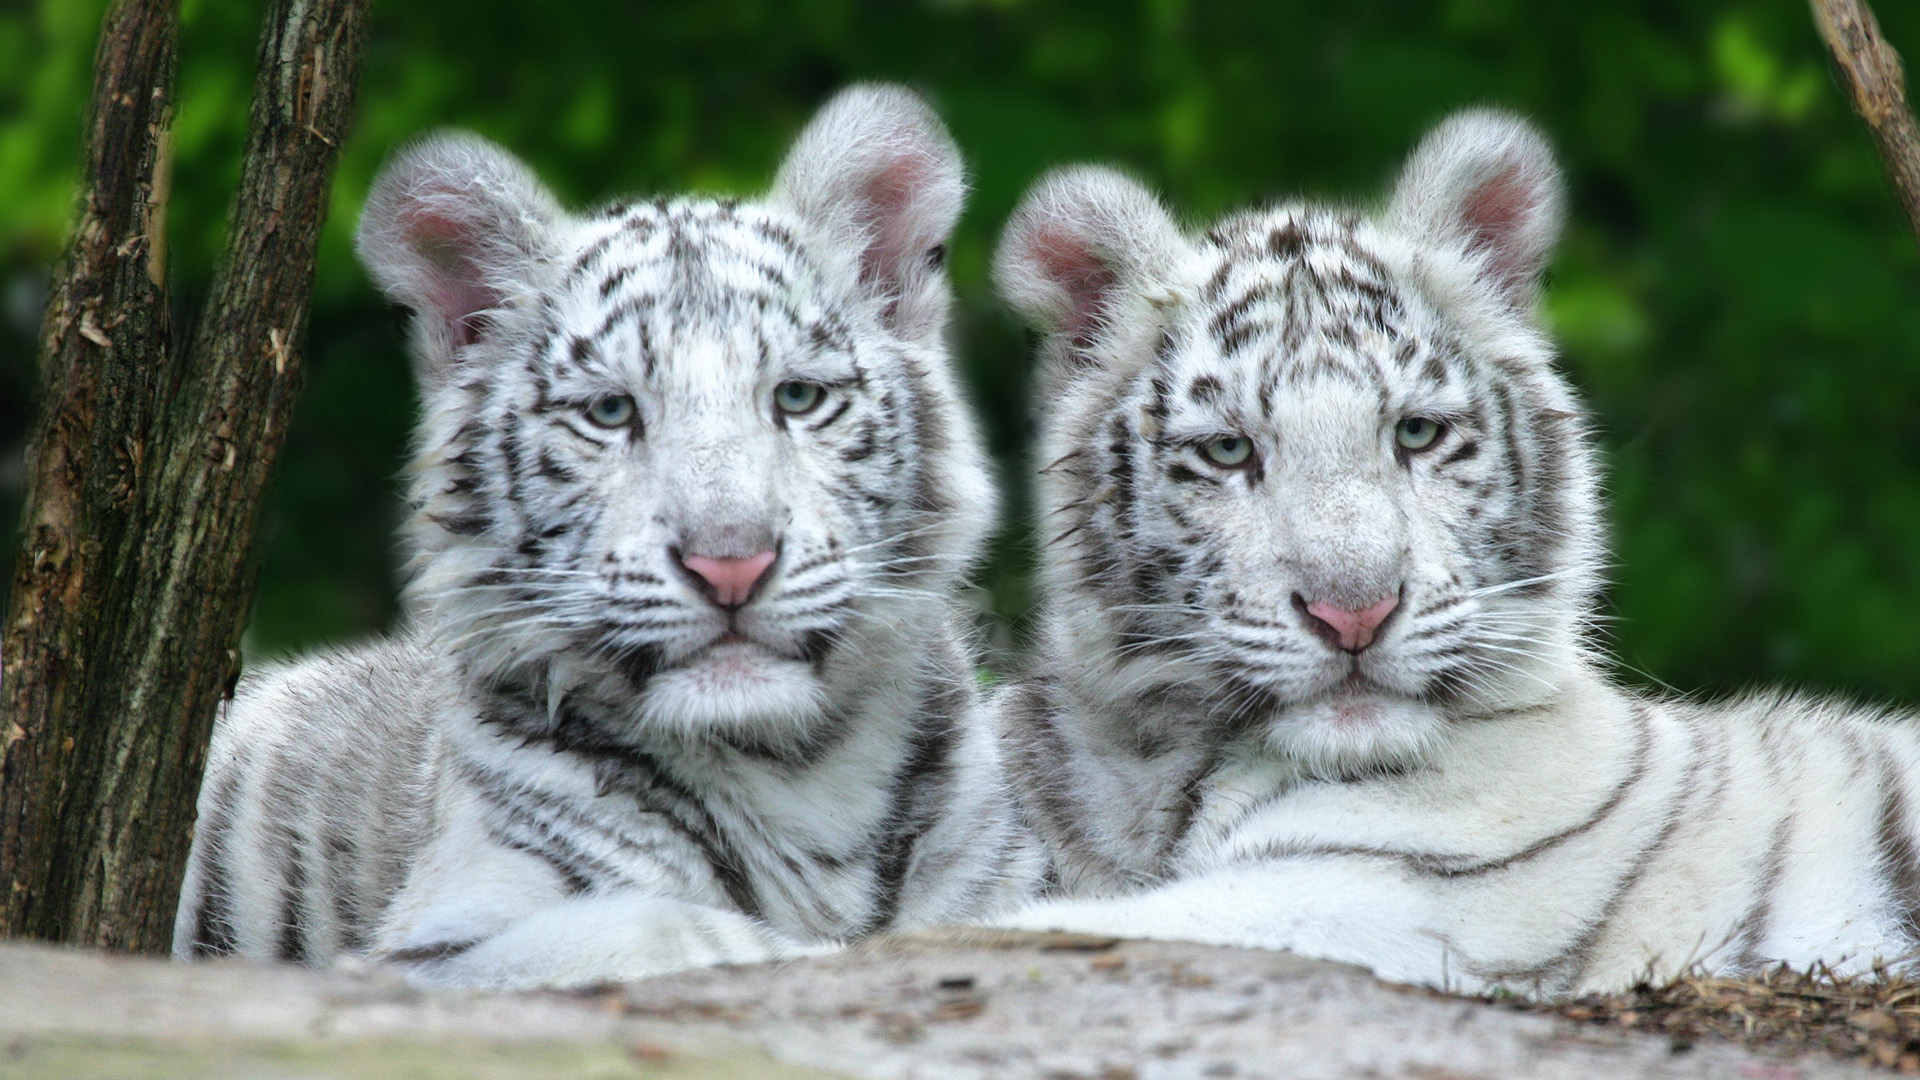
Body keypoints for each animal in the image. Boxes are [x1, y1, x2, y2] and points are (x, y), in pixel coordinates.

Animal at [171, 84, 1040, 990]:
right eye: (611, 411)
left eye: (798, 397)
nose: (731, 564)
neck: (799, 774)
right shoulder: (431, 948)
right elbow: (672, 929)